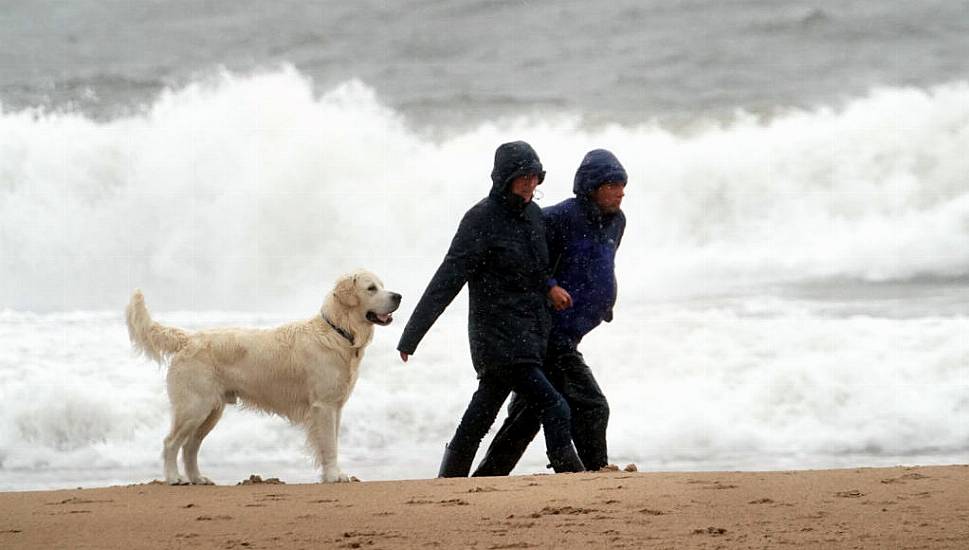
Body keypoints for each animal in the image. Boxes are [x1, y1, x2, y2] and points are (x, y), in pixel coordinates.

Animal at [125, 270, 400, 486]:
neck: (338, 332)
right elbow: (329, 445)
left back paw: (198, 478)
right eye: (371, 288)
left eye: (382, 285)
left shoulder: (336, 406)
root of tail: (188, 339)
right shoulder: (324, 406)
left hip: (211, 410)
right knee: (171, 442)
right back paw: (174, 478)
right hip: (194, 406)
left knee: (190, 446)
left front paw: (332, 474)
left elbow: (332, 441)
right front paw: (334, 475)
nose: (398, 296)